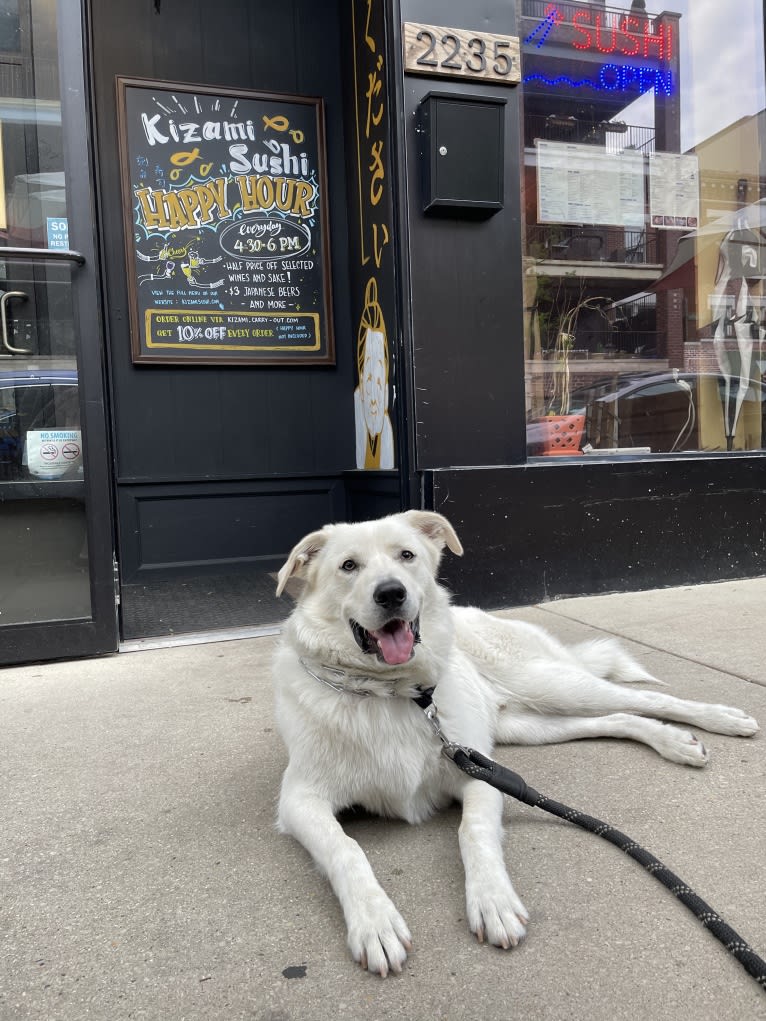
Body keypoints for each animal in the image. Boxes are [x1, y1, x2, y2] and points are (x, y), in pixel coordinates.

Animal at [273, 514, 759, 976]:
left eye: (406, 555)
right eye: (348, 566)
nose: (392, 593)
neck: (393, 693)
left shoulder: (479, 773)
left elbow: (473, 831)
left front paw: (493, 900)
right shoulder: (300, 799)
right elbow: (346, 849)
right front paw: (374, 922)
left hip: (551, 686)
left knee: (647, 699)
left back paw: (718, 721)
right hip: (528, 724)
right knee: (617, 718)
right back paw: (672, 740)